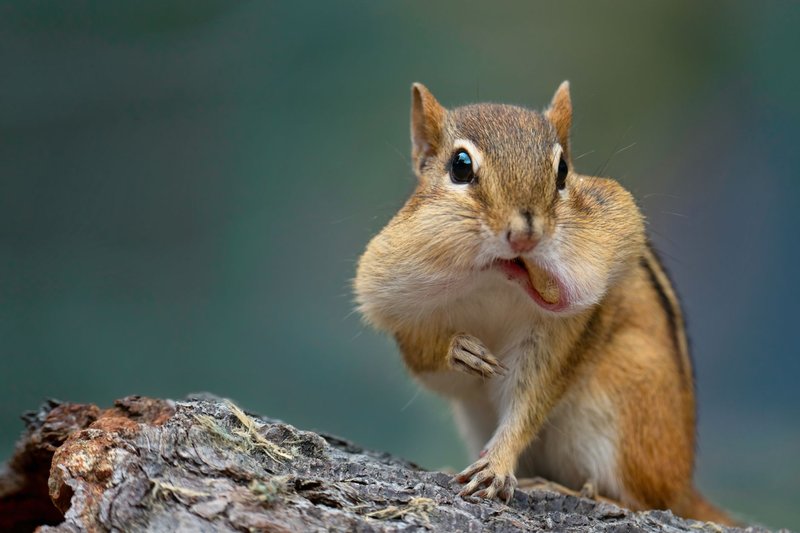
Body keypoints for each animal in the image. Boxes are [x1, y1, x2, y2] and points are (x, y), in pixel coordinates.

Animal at [353, 81, 736, 525]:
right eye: (460, 167)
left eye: (563, 171)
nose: (524, 235)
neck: (493, 284)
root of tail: (684, 483)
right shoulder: (399, 302)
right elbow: (424, 358)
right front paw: (459, 349)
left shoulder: (559, 334)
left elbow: (531, 398)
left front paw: (497, 464)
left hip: (626, 399)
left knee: (646, 500)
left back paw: (561, 487)